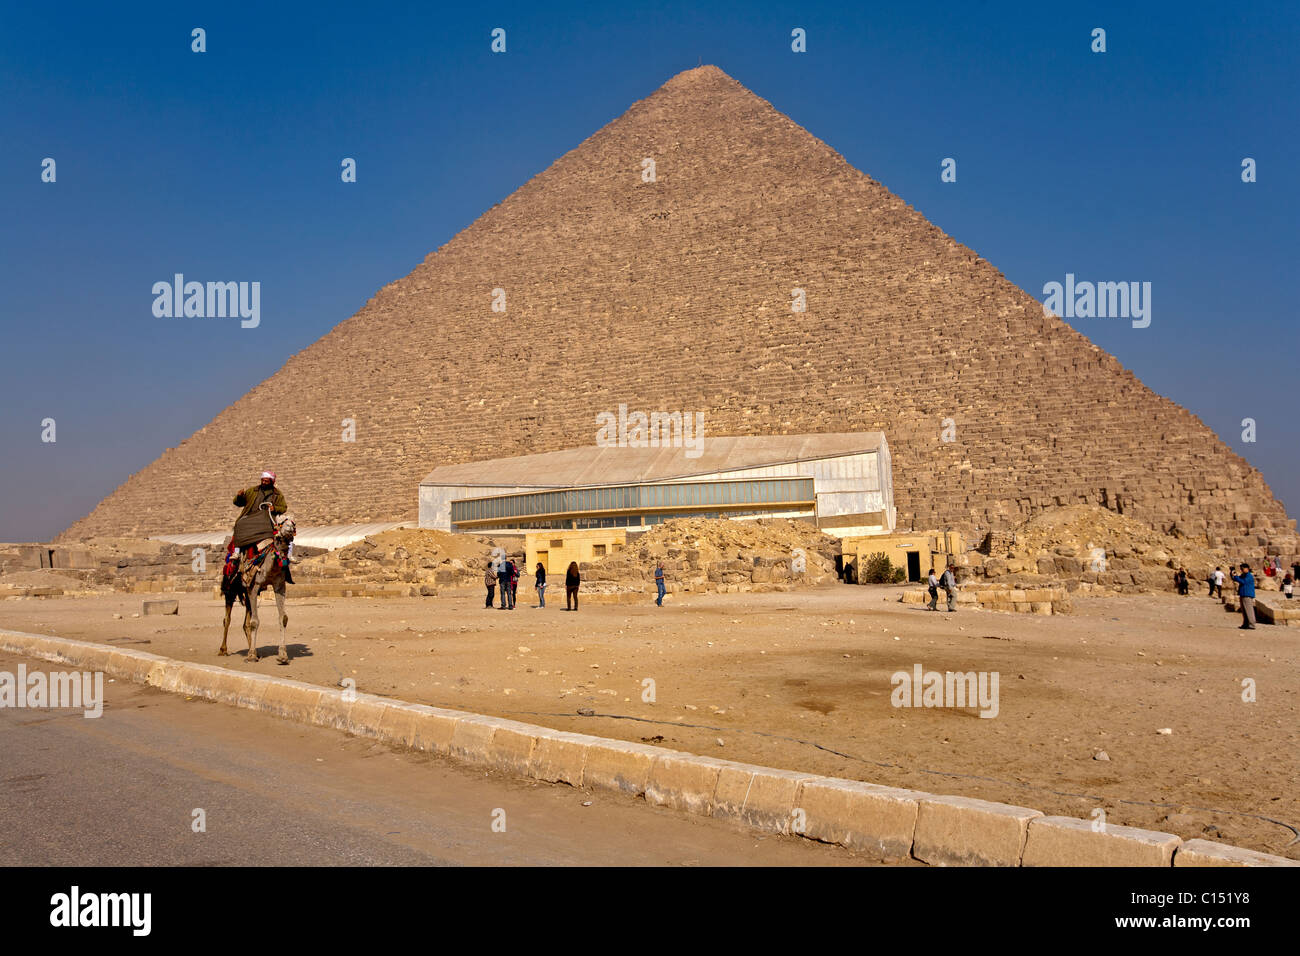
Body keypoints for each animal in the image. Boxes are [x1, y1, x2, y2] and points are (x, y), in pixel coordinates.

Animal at [220, 509, 297, 665]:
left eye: (294, 521)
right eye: (280, 521)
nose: (291, 528)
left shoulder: (279, 586)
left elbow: (283, 618)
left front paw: (283, 656)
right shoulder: (254, 586)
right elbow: (255, 622)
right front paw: (251, 656)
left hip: (246, 593)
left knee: (245, 623)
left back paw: (254, 650)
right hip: (230, 590)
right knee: (227, 619)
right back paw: (224, 650)